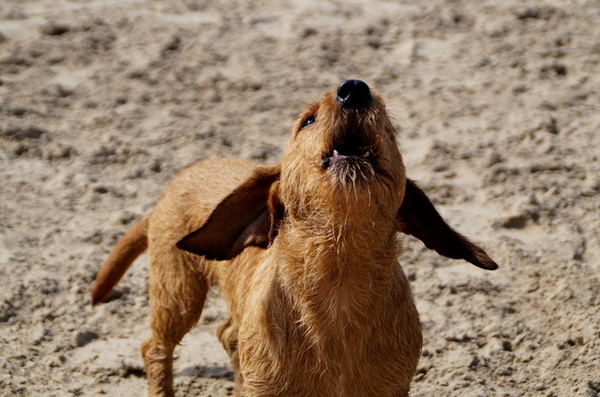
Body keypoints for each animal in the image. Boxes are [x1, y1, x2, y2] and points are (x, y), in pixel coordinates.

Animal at [90, 80, 496, 396]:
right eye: (308, 120)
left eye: (389, 130)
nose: (354, 88)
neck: (337, 283)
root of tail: (180, 177)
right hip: (178, 292)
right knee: (155, 347)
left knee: (225, 332)